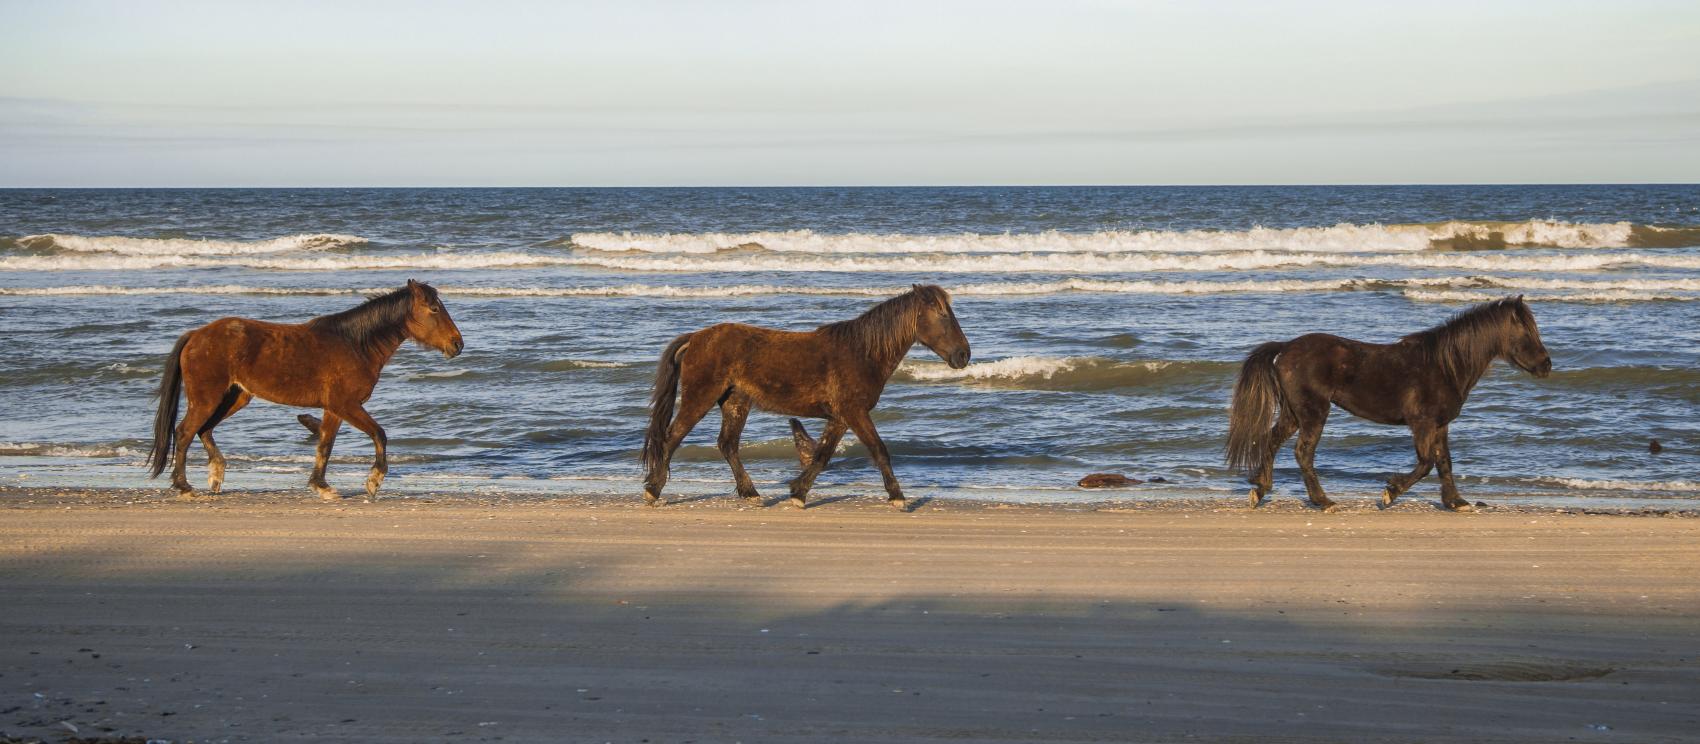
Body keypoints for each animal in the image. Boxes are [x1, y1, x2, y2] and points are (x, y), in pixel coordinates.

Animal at [147, 280, 464, 500]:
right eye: (434, 309)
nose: (457, 344)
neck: (354, 344)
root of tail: (195, 335)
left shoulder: (334, 409)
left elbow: (325, 446)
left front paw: (321, 486)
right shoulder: (346, 405)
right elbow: (379, 434)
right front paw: (374, 480)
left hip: (234, 397)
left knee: (204, 430)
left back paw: (215, 475)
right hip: (208, 399)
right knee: (185, 432)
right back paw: (185, 486)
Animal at [642, 284, 971, 510]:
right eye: (942, 315)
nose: (963, 355)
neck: (861, 353)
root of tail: (697, 338)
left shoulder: (840, 417)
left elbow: (822, 455)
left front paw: (798, 493)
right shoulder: (855, 413)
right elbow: (879, 450)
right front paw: (897, 497)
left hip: (735, 403)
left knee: (727, 445)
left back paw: (751, 494)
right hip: (701, 398)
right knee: (672, 438)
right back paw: (653, 491)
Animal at [1225, 296, 1551, 512]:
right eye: (1527, 333)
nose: (1547, 365)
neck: (1444, 365)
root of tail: (1285, 348)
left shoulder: (1440, 425)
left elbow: (1444, 462)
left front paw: (1455, 502)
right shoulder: (1421, 423)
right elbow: (1426, 463)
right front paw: (1391, 492)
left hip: (1294, 414)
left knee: (1272, 441)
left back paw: (1260, 490)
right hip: (1313, 413)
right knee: (1303, 453)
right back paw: (1323, 501)